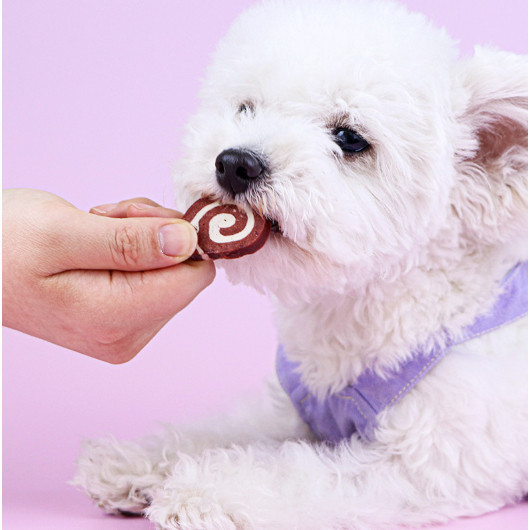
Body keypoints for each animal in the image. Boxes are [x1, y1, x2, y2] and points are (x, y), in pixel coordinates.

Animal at [74, 0, 528, 528]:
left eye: (350, 138)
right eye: (246, 107)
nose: (235, 162)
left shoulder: (422, 462)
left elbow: (296, 475)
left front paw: (206, 492)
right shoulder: (287, 410)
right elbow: (223, 426)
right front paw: (138, 459)